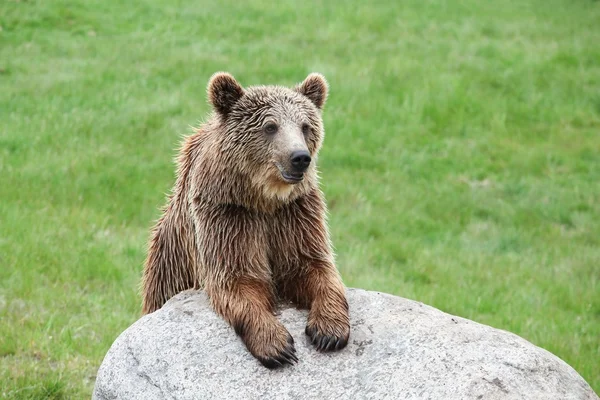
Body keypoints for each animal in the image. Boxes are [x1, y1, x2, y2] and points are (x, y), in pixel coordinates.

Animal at [141, 72, 352, 368]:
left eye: (305, 125)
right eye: (270, 126)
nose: (300, 157)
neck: (263, 199)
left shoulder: (294, 212)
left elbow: (314, 266)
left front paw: (329, 331)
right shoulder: (228, 215)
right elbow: (238, 279)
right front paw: (276, 345)